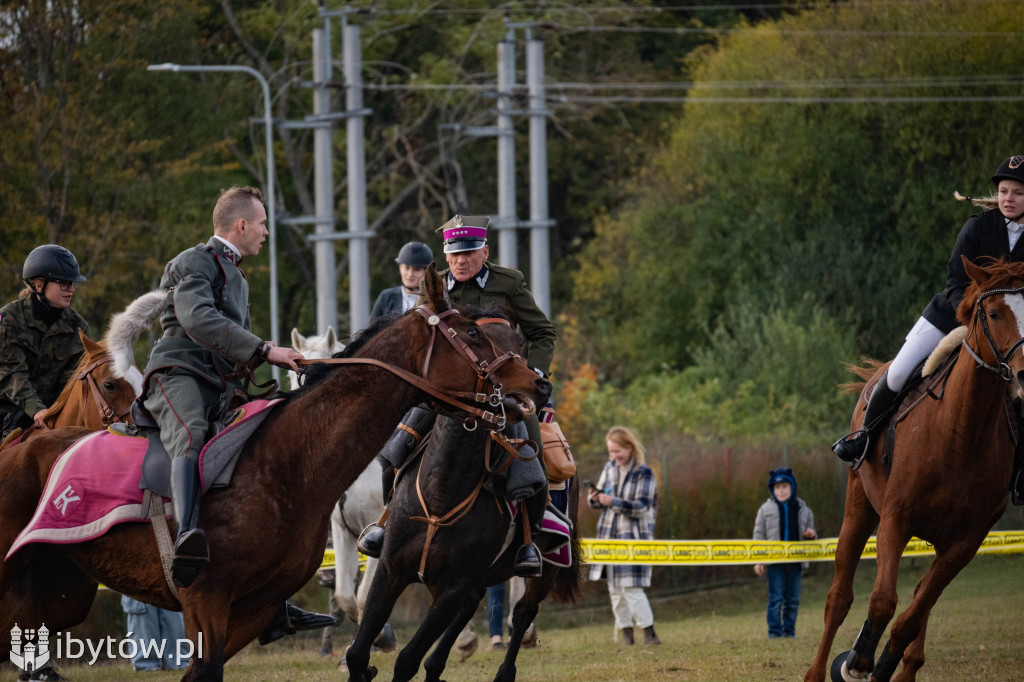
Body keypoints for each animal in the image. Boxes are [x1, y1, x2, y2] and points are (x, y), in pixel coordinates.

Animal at [346, 309, 581, 679]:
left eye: (519, 344)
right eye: (478, 338)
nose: (539, 386)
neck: (442, 493)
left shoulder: (452, 587)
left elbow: (407, 659)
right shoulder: (391, 569)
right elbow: (357, 653)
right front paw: (367, 667)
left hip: (546, 568)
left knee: (523, 612)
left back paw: (503, 671)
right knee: (473, 606)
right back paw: (437, 665)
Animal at [802, 256, 1024, 679]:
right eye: (993, 313)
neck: (963, 432)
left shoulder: (965, 541)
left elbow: (912, 614)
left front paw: (884, 665)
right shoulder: (896, 517)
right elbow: (883, 602)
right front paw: (857, 662)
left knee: (921, 597)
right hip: (860, 506)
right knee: (839, 597)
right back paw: (818, 671)